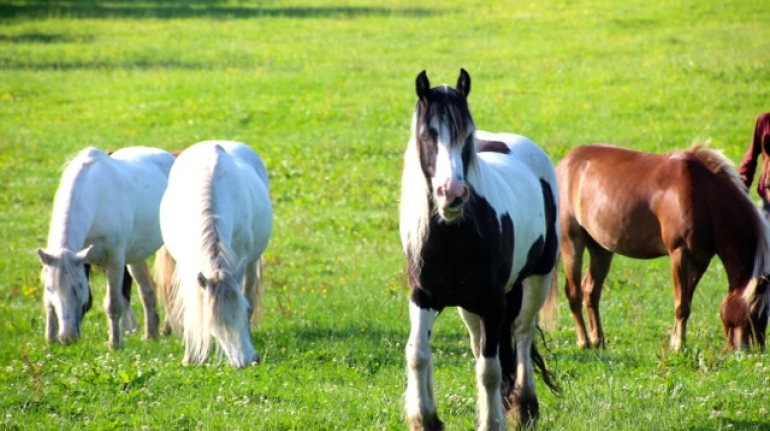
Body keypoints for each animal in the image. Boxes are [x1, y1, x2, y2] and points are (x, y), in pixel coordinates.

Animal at [36, 147, 173, 350]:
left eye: (79, 286)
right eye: (48, 287)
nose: (67, 337)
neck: (95, 198)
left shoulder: (114, 260)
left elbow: (113, 304)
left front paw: (115, 343)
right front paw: (50, 339)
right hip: (135, 256)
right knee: (147, 290)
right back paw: (151, 335)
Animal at [158, 140, 272, 370]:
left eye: (242, 310)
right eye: (215, 323)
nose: (246, 361)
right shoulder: (188, 269)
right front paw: (191, 356)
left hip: (252, 262)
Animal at [396, 69, 560, 430]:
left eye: (466, 135)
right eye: (427, 134)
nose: (452, 194)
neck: (454, 237)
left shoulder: (493, 302)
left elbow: (489, 369)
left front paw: (491, 421)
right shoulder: (423, 297)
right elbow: (418, 353)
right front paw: (426, 418)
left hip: (536, 279)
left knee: (522, 333)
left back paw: (525, 405)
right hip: (468, 307)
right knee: (480, 343)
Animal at [548, 143, 768, 352]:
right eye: (755, 312)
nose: (757, 349)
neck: (702, 195)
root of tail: (564, 164)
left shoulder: (701, 260)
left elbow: (687, 300)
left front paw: (674, 341)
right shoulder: (679, 254)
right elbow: (681, 306)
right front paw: (678, 345)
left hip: (601, 249)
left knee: (591, 291)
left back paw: (598, 341)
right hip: (572, 243)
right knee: (574, 292)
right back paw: (583, 341)